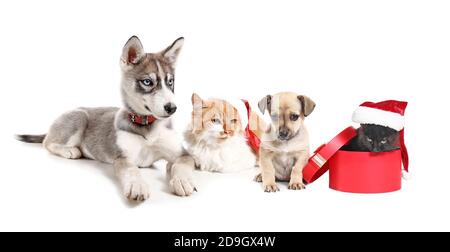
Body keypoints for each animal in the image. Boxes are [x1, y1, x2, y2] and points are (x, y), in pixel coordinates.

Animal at [16, 35, 195, 202]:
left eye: (170, 82)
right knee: (47, 142)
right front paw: (137, 185)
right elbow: (132, 170)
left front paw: (182, 180)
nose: (172, 108)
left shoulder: (182, 153)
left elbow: (181, 164)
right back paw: (69, 150)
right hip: (79, 117)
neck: (146, 126)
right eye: (147, 82)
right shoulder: (123, 158)